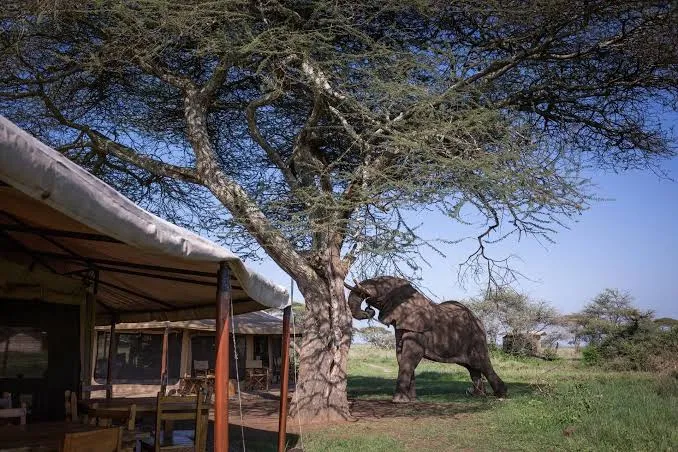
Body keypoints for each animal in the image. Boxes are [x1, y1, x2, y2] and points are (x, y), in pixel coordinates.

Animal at [347, 276, 507, 402]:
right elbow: (400, 356)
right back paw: (477, 395)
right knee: (473, 368)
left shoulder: (418, 330)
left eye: (383, 286)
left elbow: (411, 356)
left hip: (476, 338)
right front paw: (410, 399)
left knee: (483, 364)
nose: (368, 311)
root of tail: (479, 320)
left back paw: (502, 395)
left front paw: (398, 400)